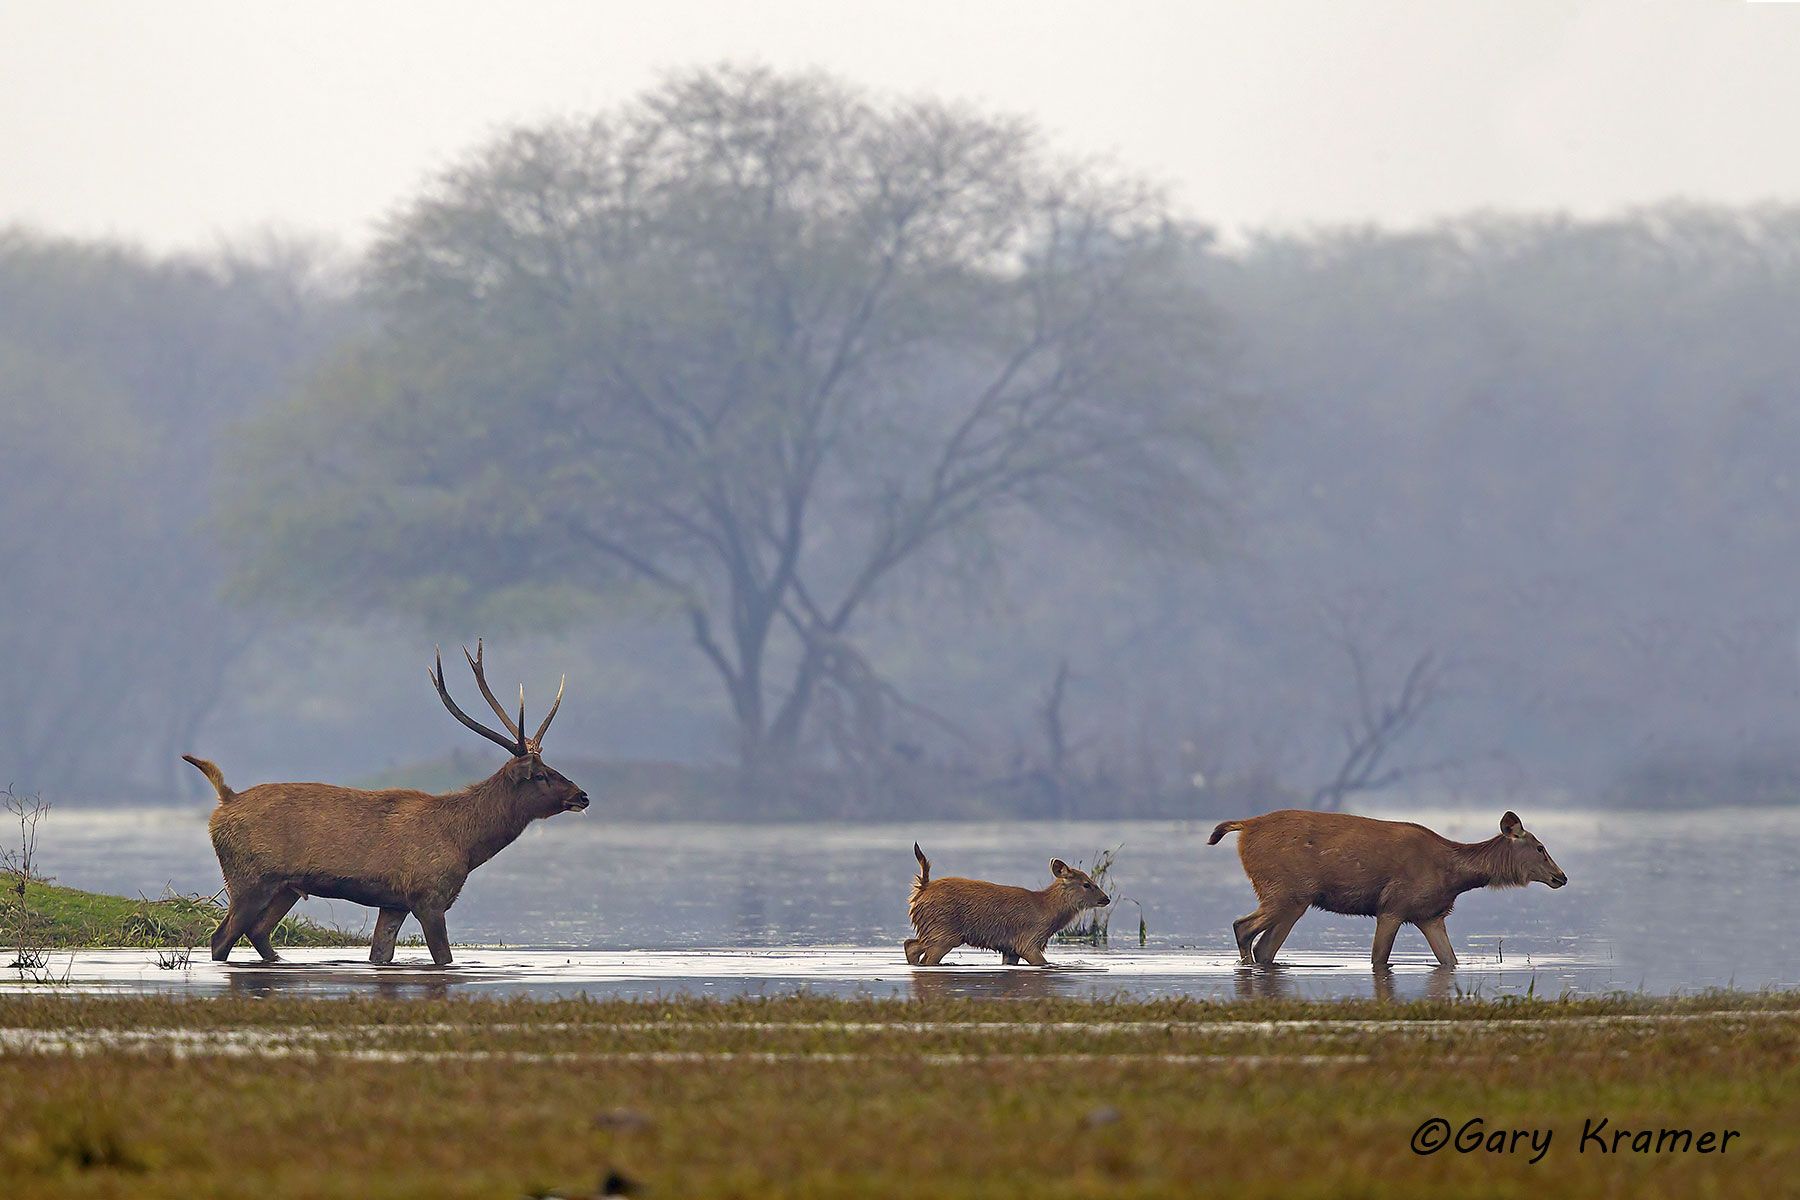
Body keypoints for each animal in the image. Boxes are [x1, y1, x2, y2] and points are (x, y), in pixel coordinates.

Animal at [182, 641, 589, 967]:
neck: (465, 843)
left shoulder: (394, 902)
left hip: (285, 887)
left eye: (551, 767)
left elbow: (380, 954)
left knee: (258, 932)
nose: (581, 795)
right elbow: (443, 958)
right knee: (221, 937)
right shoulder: (428, 896)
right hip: (247, 878)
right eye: (540, 774)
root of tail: (226, 799)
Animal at [903, 843, 1110, 966]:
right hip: (943, 931)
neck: (1048, 912)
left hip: (934, 930)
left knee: (910, 945)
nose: (1106, 898)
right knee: (925, 956)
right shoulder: (1028, 940)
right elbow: (1042, 962)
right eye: (1086, 884)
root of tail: (922, 889)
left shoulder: (1010, 948)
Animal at [1209, 809, 1566, 968]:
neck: (1453, 875)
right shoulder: (1393, 905)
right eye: (1539, 847)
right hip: (1284, 890)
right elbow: (1379, 959)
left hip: (1292, 898)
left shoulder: (1430, 915)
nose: (1561, 876)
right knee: (1243, 927)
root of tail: (1245, 826)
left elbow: (1450, 960)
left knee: (1264, 947)